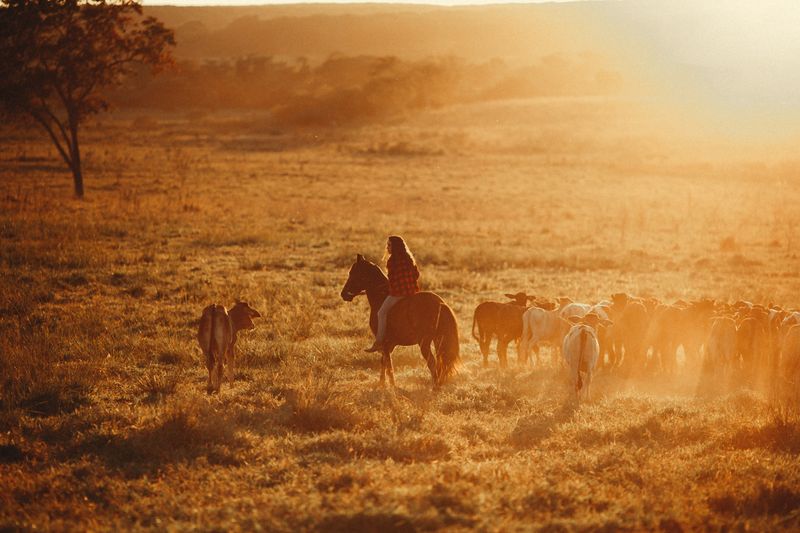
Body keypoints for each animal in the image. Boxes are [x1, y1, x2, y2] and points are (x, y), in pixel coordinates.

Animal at [340, 255, 462, 386]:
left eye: (353, 273)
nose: (343, 294)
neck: (381, 297)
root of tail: (440, 303)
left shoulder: (385, 344)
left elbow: (387, 364)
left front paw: (389, 385)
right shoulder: (390, 345)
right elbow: (385, 362)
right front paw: (384, 383)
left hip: (424, 343)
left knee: (432, 364)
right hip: (438, 341)